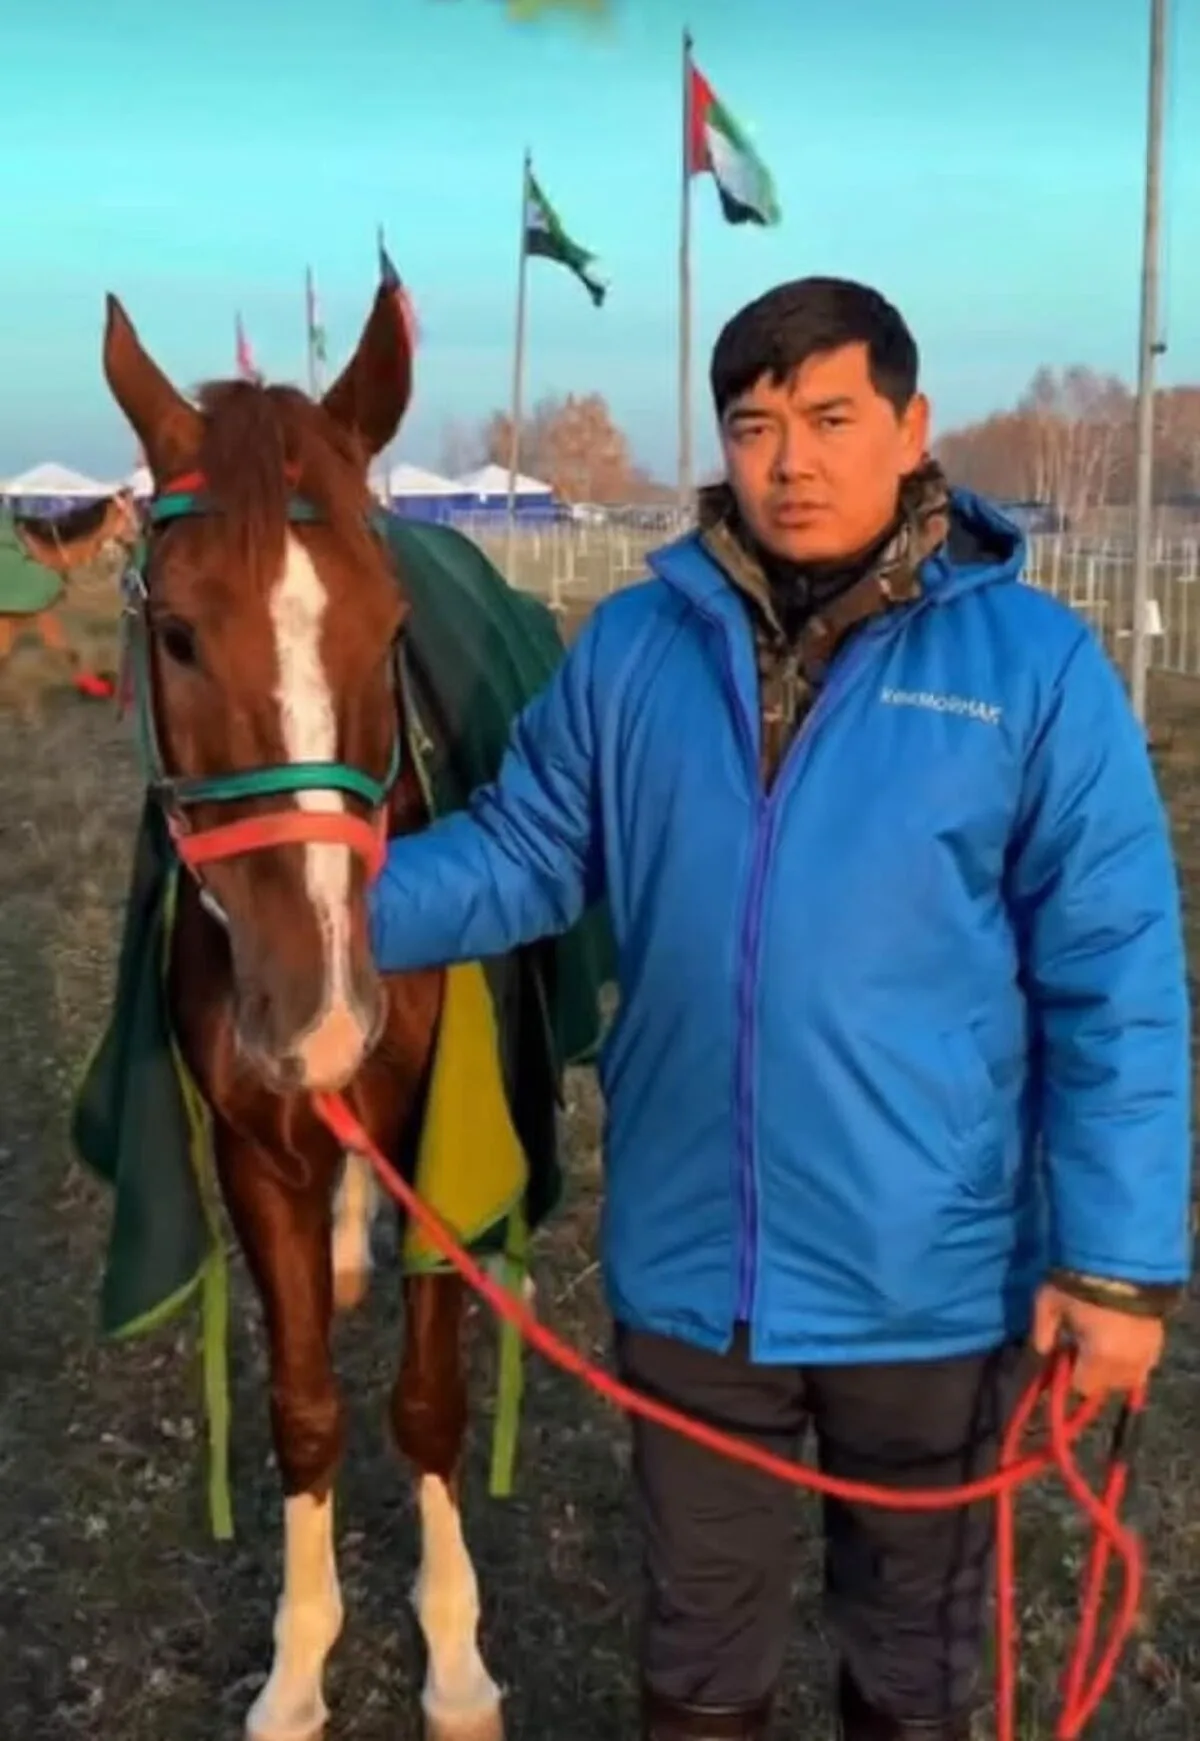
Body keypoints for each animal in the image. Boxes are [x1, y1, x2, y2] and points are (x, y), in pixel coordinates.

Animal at [99, 284, 556, 1741]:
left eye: (388, 624)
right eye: (176, 632)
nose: (318, 1008)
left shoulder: (437, 1136)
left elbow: (429, 1400)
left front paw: (454, 1659)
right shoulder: (258, 1149)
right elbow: (303, 1407)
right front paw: (299, 1667)